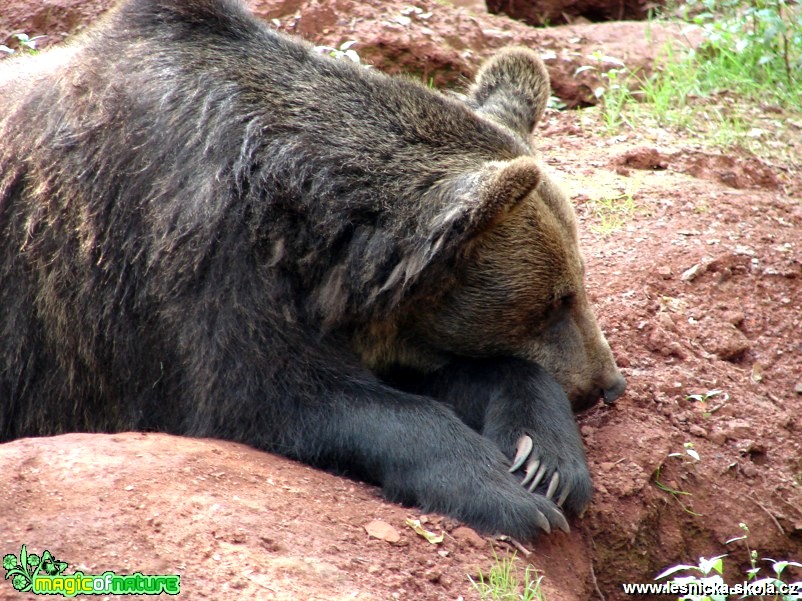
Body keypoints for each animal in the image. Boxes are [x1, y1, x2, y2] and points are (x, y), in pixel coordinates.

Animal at [0, 0, 624, 540]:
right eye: (553, 302)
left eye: (577, 284)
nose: (608, 385)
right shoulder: (187, 266)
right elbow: (275, 395)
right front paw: (510, 496)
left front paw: (544, 460)